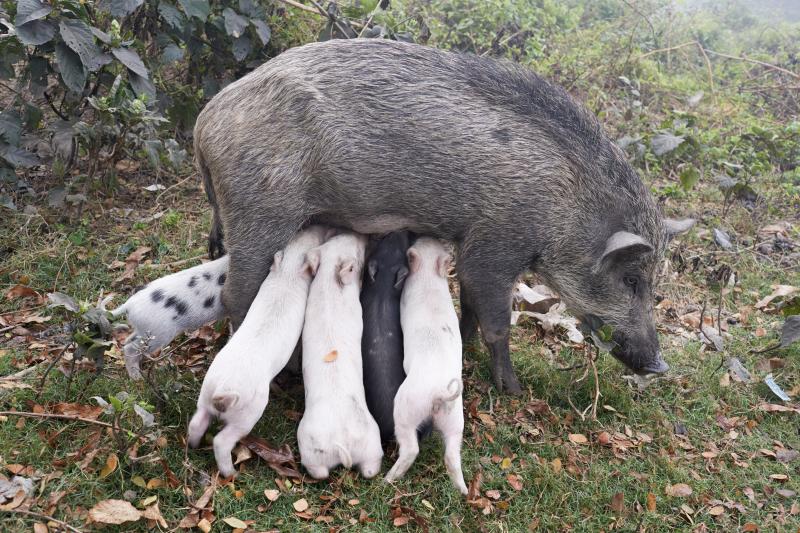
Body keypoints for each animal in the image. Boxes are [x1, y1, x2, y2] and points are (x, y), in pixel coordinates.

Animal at [194, 39, 668, 392]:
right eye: (631, 279)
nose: (659, 365)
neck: (565, 206)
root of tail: (204, 123)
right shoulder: (495, 241)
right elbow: (495, 317)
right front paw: (512, 390)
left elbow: (471, 306)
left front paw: (465, 347)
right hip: (261, 212)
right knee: (235, 295)